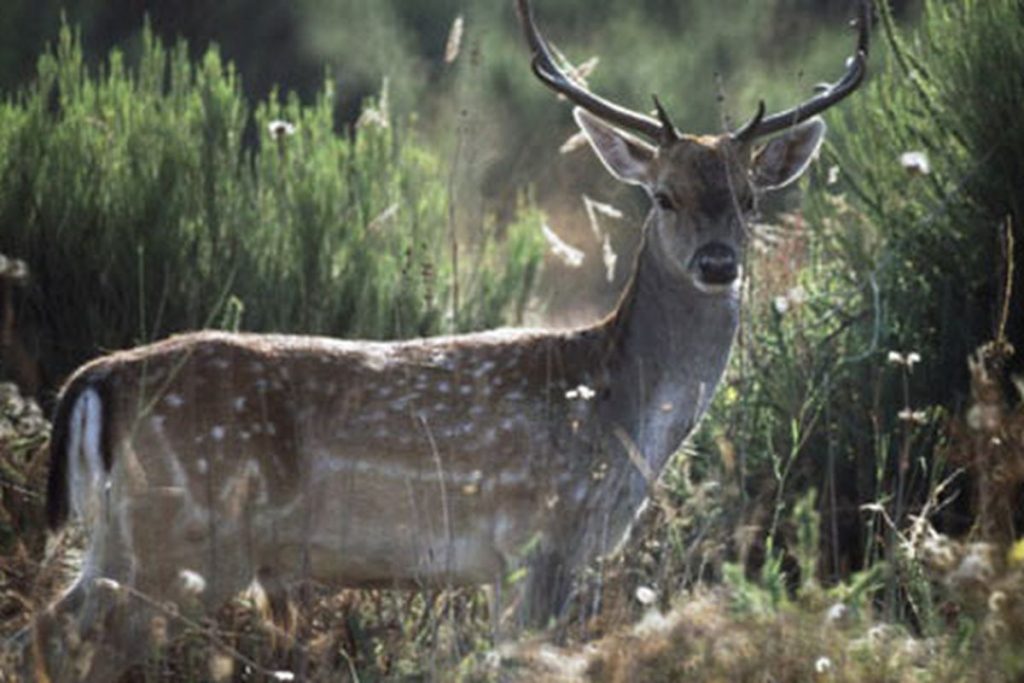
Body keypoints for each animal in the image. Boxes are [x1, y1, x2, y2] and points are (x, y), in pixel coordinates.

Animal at [7, 1, 870, 680]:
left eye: (750, 198)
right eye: (663, 195)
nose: (718, 262)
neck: (621, 412)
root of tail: (94, 379)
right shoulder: (538, 539)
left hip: (122, 537)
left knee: (36, 630)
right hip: (181, 539)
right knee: (68, 642)